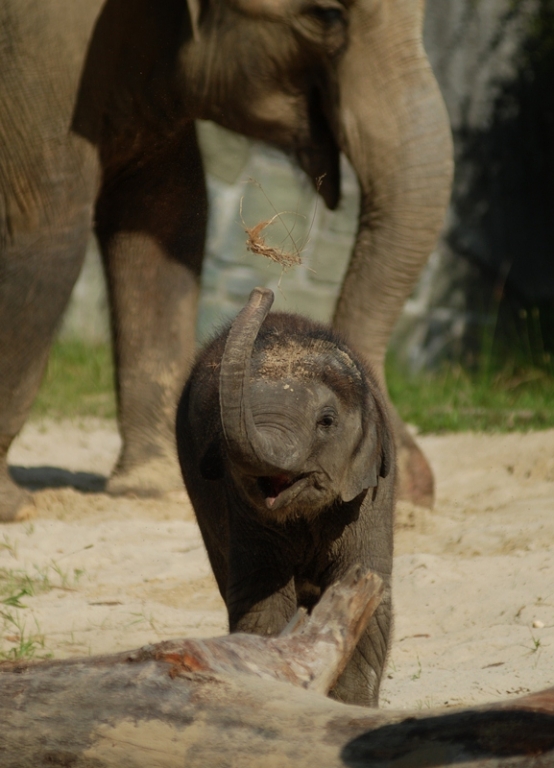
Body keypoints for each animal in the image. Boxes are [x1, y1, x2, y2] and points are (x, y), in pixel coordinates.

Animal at [0, 0, 452, 522]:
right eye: (327, 15)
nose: (414, 488)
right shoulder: (40, 54)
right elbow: (50, 229)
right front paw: (17, 508)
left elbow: (168, 219)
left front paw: (153, 488)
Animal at [176, 287, 396, 706]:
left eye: (326, 421)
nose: (262, 291)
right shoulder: (241, 502)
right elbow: (263, 601)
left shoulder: (371, 494)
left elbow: (367, 592)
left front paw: (351, 708)